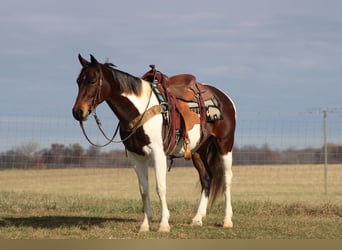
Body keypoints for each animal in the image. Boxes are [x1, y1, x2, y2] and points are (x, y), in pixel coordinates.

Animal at [72, 54, 236, 232]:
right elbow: (144, 189)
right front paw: (145, 224)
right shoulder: (136, 156)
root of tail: (225, 97)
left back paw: (227, 220)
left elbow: (160, 187)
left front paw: (164, 224)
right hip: (198, 150)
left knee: (227, 179)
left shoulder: (159, 153)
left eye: (93, 80)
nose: (78, 112)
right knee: (206, 178)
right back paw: (197, 218)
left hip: (225, 145)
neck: (139, 109)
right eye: (78, 81)